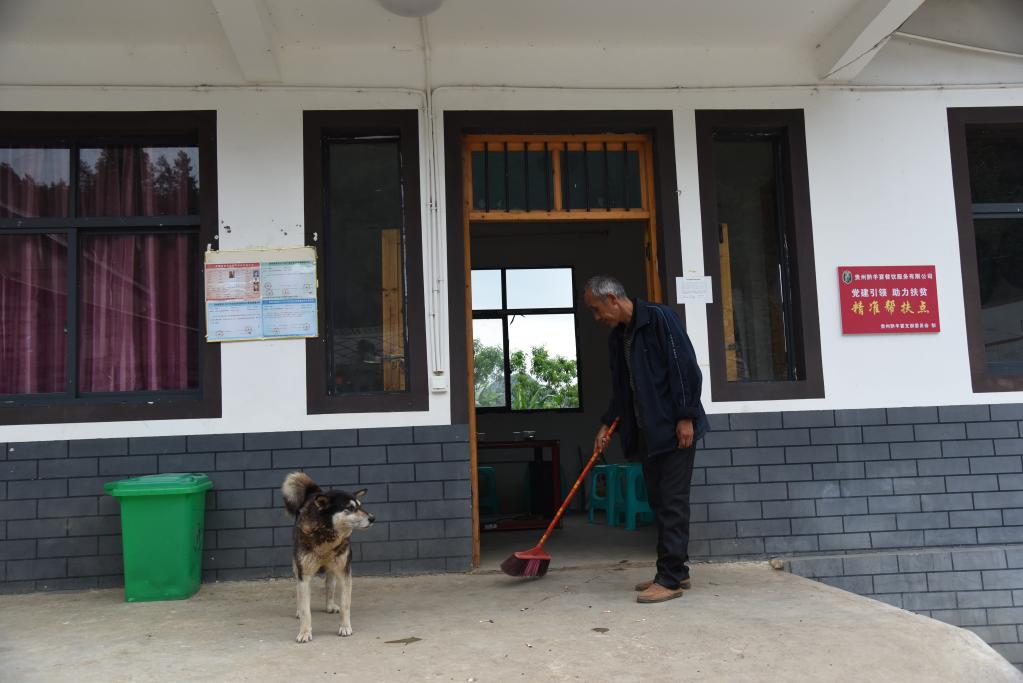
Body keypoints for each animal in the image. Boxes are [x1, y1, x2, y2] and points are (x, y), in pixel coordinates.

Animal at [281, 472, 374, 643]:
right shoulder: (304, 575)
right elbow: (305, 609)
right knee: (298, 590)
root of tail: (315, 492)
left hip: (333, 567)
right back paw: (298, 610)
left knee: (329, 584)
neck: (326, 532)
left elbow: (345, 604)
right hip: (296, 567)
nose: (373, 518)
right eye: (350, 508)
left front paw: (345, 627)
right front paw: (305, 632)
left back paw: (330, 605)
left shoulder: (345, 572)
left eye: (360, 506)